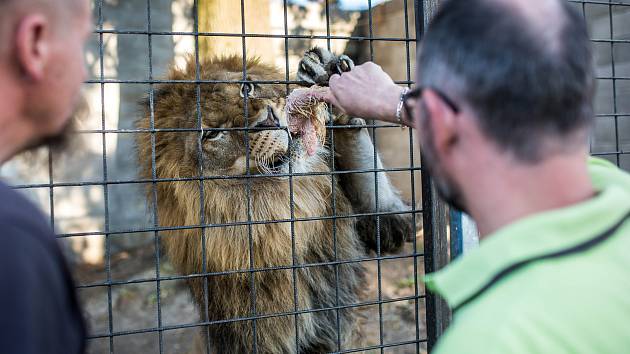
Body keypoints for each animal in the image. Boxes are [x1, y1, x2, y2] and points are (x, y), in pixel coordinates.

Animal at [135, 47, 414, 354]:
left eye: (246, 88)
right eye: (212, 133)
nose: (268, 119)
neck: (284, 206)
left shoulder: (382, 226)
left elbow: (386, 214)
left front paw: (328, 74)